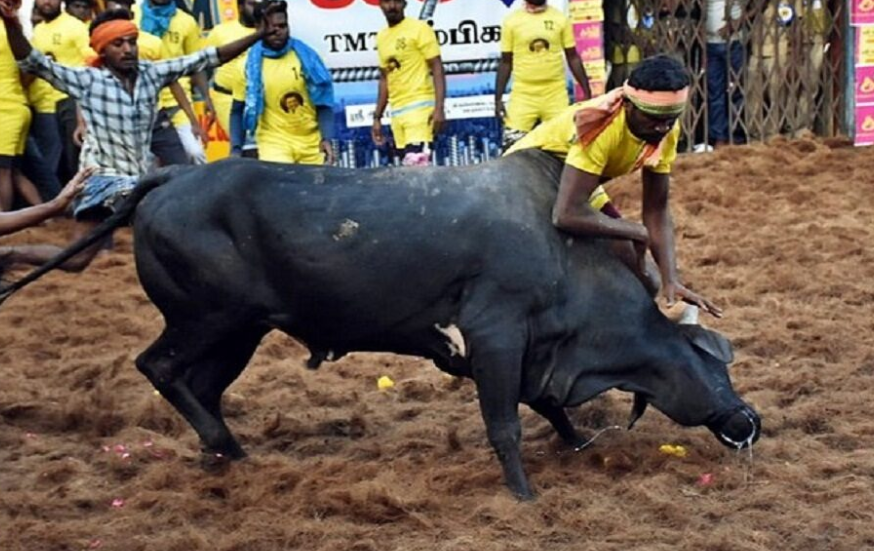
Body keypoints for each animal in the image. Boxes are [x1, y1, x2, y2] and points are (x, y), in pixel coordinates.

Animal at [1, 150, 756, 500]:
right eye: (714, 363)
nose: (748, 420)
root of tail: (169, 178)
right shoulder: (496, 333)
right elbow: (506, 421)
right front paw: (523, 490)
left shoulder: (518, 350)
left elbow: (543, 403)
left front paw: (572, 442)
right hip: (206, 318)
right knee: (158, 366)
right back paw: (225, 444)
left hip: (239, 330)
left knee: (199, 385)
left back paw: (225, 450)